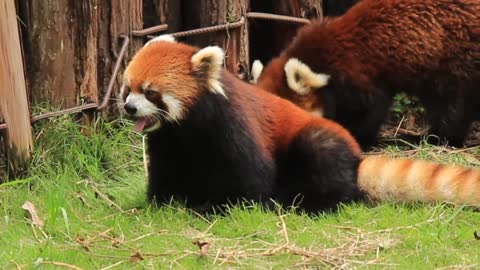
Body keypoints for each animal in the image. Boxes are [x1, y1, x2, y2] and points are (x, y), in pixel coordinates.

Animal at [253, 0, 478, 149]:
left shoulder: (358, 75)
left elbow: (370, 112)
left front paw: (354, 136)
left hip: (452, 57)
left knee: (451, 104)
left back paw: (436, 138)